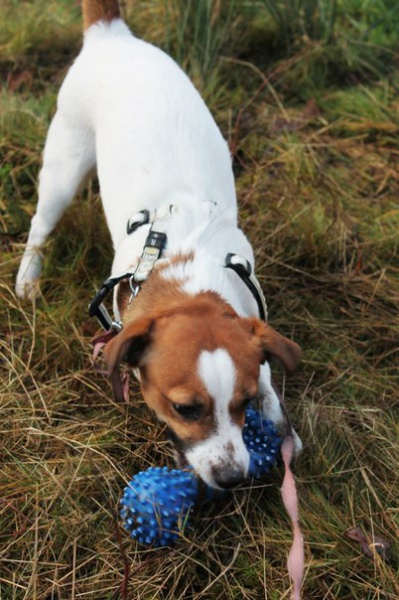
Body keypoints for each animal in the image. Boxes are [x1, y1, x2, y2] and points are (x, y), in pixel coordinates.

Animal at [16, 0, 304, 488]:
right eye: (185, 408)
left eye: (243, 404)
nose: (232, 478)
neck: (186, 271)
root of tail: (112, 34)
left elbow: (267, 374)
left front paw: (279, 419)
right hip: (63, 168)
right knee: (41, 225)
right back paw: (27, 279)